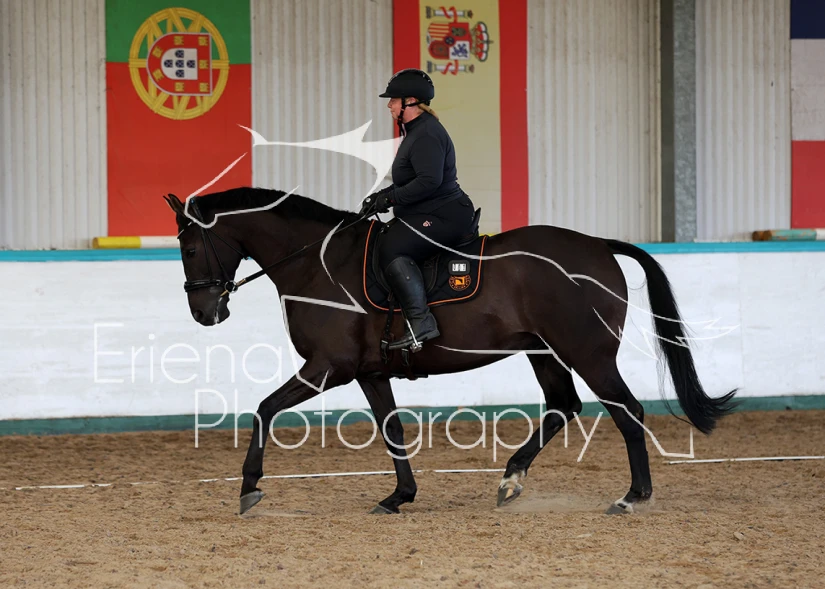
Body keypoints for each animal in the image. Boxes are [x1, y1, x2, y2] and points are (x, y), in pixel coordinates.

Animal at [163, 187, 737, 516]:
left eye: (188, 248)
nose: (204, 312)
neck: (316, 264)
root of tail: (598, 246)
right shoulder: (369, 372)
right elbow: (392, 429)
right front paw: (400, 496)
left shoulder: (328, 367)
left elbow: (263, 410)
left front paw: (248, 488)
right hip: (544, 352)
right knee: (563, 407)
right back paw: (511, 480)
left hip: (588, 354)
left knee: (627, 411)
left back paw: (632, 496)